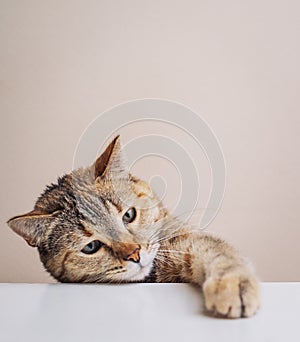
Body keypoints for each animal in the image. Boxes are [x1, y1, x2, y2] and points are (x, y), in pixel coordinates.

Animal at [7, 136, 260, 318]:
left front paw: (234, 284)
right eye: (91, 247)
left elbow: (220, 253)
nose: (134, 254)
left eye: (128, 215)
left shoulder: (187, 242)